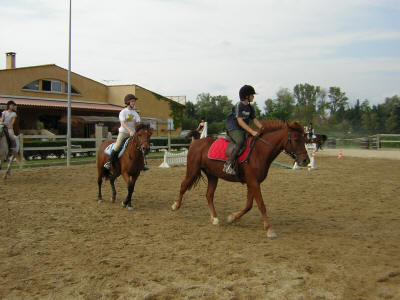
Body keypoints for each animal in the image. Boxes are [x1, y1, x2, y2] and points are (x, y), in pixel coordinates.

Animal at [172, 120, 310, 238]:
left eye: (304, 139)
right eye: (296, 139)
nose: (305, 161)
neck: (259, 151)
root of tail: (196, 141)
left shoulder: (252, 183)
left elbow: (249, 205)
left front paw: (232, 218)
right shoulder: (253, 182)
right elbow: (261, 205)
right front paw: (269, 229)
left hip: (212, 175)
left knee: (209, 195)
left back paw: (215, 218)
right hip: (192, 170)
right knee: (183, 186)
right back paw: (176, 205)